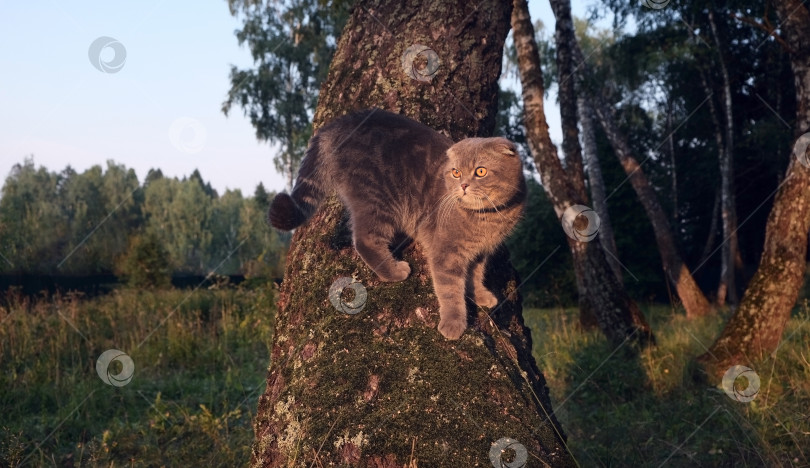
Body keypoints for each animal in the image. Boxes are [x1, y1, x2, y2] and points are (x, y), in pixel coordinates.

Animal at [268, 111, 528, 342]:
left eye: (480, 171)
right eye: (455, 172)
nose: (463, 185)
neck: (487, 220)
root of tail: (341, 121)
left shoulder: (480, 252)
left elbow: (475, 275)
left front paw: (481, 295)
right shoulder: (446, 253)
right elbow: (450, 290)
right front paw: (454, 323)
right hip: (378, 200)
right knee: (364, 240)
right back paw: (394, 271)